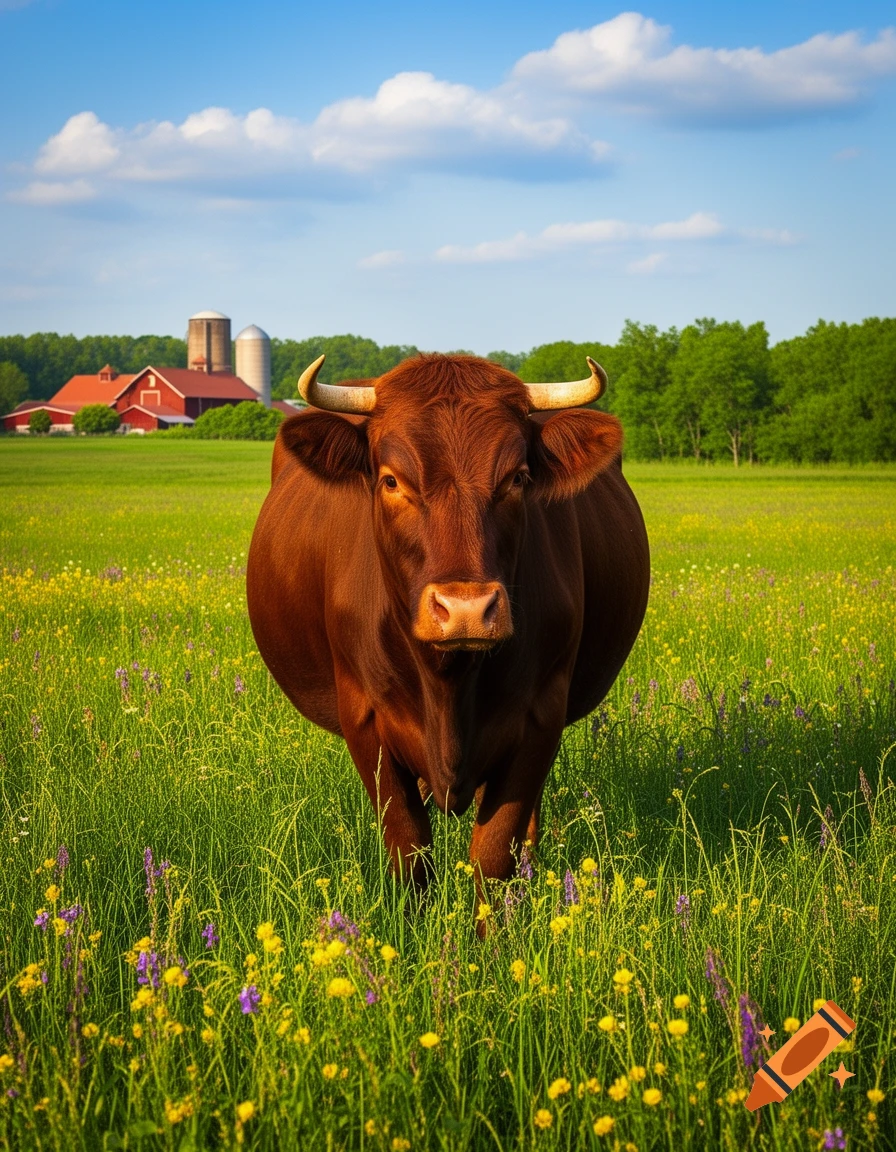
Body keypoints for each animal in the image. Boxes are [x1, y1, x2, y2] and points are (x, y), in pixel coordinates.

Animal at [247, 353, 649, 925]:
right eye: (392, 480)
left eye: (517, 478)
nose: (465, 611)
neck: (449, 683)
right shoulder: (364, 718)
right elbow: (409, 848)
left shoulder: (542, 714)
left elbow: (494, 853)